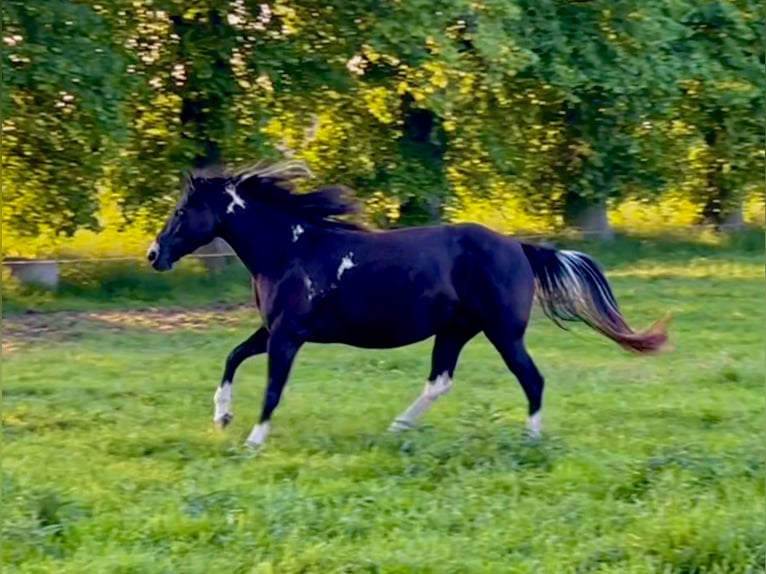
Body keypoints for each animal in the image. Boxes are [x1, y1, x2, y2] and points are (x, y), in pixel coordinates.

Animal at [146, 160, 670, 448]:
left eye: (181, 212)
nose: (154, 254)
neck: (290, 249)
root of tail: (518, 248)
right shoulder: (274, 330)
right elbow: (232, 357)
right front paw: (222, 417)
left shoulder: (288, 337)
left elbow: (272, 388)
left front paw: (253, 440)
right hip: (455, 331)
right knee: (440, 381)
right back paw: (397, 427)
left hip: (503, 334)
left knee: (532, 380)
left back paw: (531, 439)